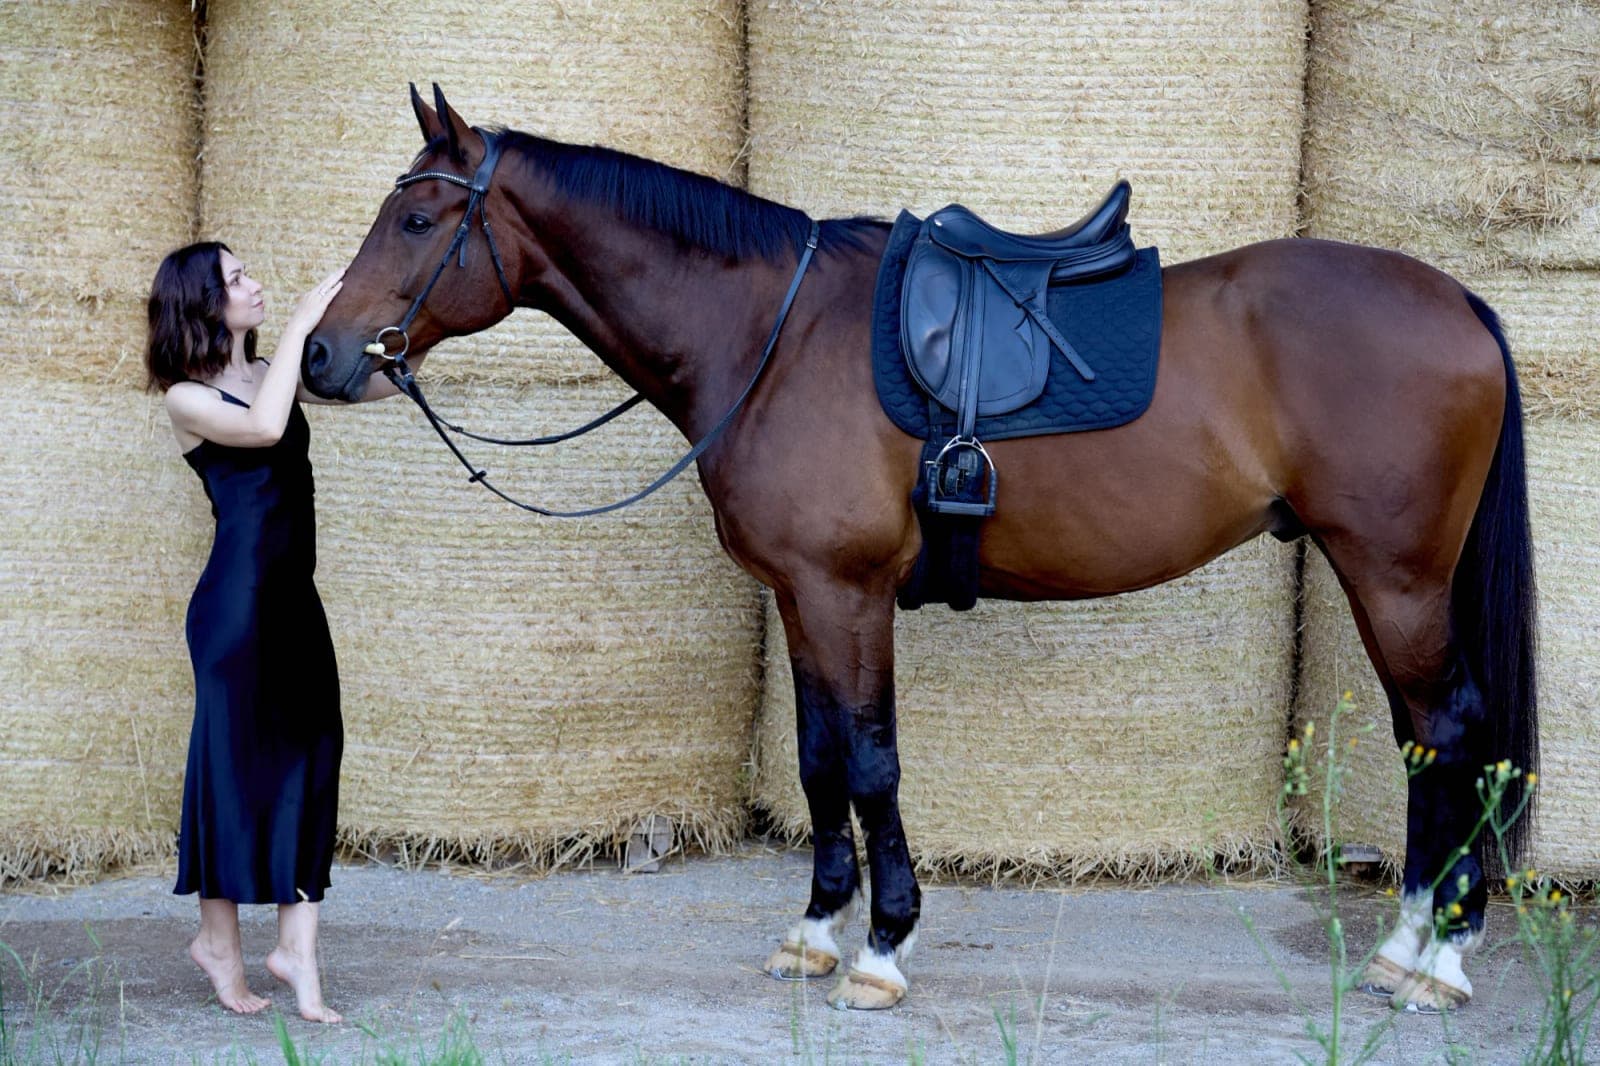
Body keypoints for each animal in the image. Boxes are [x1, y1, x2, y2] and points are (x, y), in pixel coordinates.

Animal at [304, 85, 1537, 1013]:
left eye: (416, 223)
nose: (320, 356)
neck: (773, 337)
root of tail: (1460, 302)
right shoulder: (801, 598)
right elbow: (817, 761)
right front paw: (815, 930)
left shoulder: (845, 594)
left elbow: (871, 762)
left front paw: (883, 949)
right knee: (1425, 742)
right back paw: (1405, 945)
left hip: (1396, 576)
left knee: (1449, 729)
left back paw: (1437, 957)